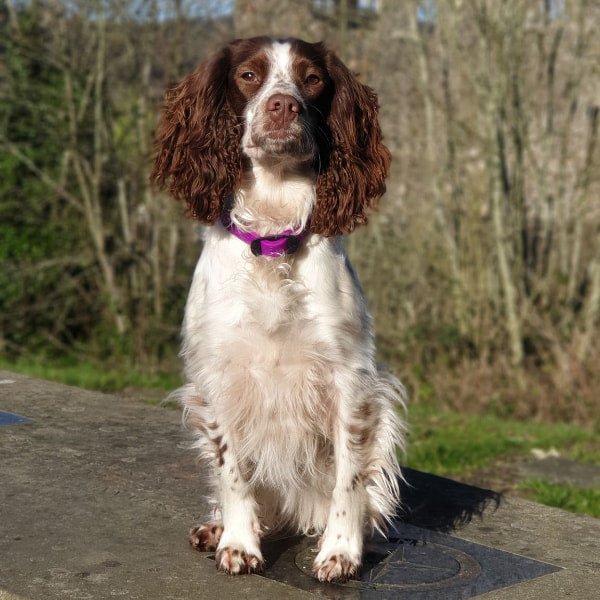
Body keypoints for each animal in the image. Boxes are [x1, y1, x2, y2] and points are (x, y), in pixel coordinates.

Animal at [154, 36, 408, 580]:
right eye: (249, 75)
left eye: (312, 79)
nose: (283, 105)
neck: (272, 238)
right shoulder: (217, 376)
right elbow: (232, 470)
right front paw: (238, 541)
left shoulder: (352, 379)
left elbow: (348, 478)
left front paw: (340, 551)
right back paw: (218, 527)